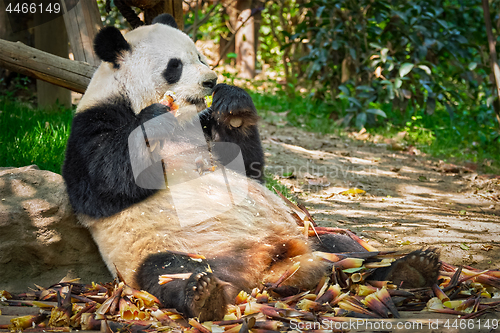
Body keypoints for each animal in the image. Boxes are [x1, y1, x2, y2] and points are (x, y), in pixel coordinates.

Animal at [63, 13, 442, 322]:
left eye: (200, 56)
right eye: (175, 66)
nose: (210, 81)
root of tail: (267, 268)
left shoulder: (203, 124)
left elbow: (247, 167)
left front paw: (233, 103)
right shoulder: (91, 124)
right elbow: (103, 182)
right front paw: (153, 121)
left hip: (307, 234)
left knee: (345, 249)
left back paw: (409, 269)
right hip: (162, 247)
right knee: (168, 270)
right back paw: (203, 296)